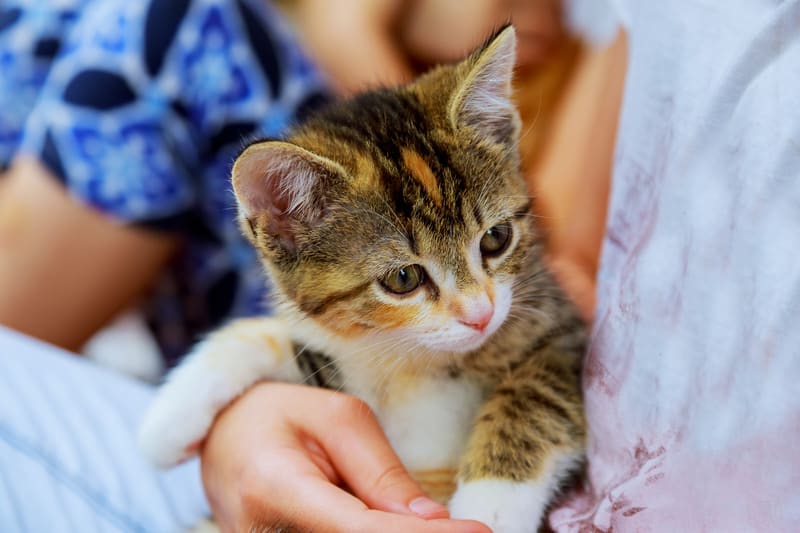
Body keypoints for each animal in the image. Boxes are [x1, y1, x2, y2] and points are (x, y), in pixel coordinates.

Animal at [139, 26, 588, 532]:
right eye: (404, 278)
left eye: (496, 238)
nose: (481, 316)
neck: (412, 362)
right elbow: (272, 338)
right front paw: (169, 417)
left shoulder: (564, 334)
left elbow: (536, 396)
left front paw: (489, 506)